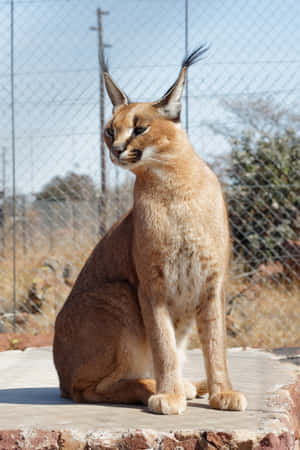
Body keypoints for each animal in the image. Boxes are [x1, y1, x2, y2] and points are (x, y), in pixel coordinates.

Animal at [53, 46, 246, 414]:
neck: (173, 183)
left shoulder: (212, 281)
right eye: (109, 131)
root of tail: (60, 377)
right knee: (89, 390)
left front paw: (222, 392)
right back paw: (155, 386)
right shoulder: (151, 285)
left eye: (140, 128)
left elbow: (216, 344)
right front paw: (168, 393)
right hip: (118, 295)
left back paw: (188, 385)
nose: (115, 150)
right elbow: (163, 344)